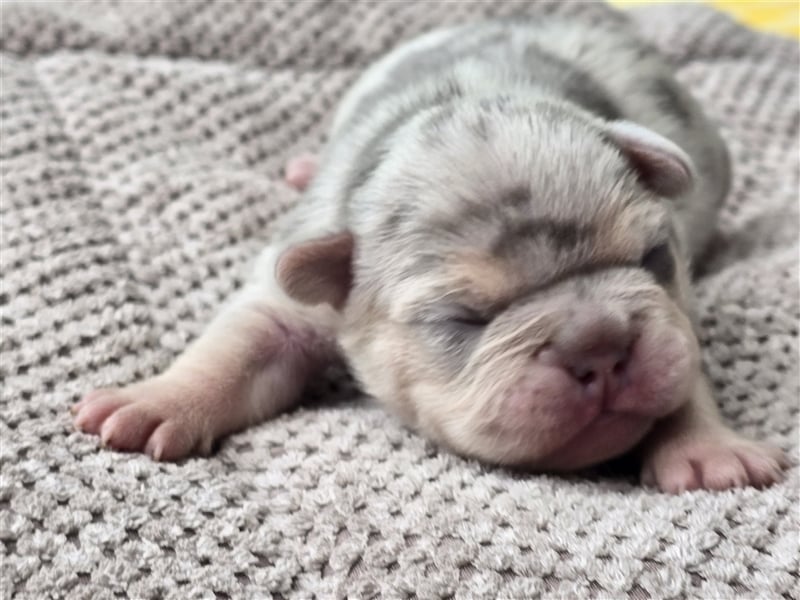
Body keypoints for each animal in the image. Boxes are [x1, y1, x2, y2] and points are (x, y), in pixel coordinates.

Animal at [73, 16, 788, 492]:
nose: (600, 344)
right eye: (461, 321)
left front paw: (709, 449)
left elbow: (682, 367)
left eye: (654, 259)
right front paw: (157, 401)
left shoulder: (675, 314)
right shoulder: (290, 297)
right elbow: (235, 348)